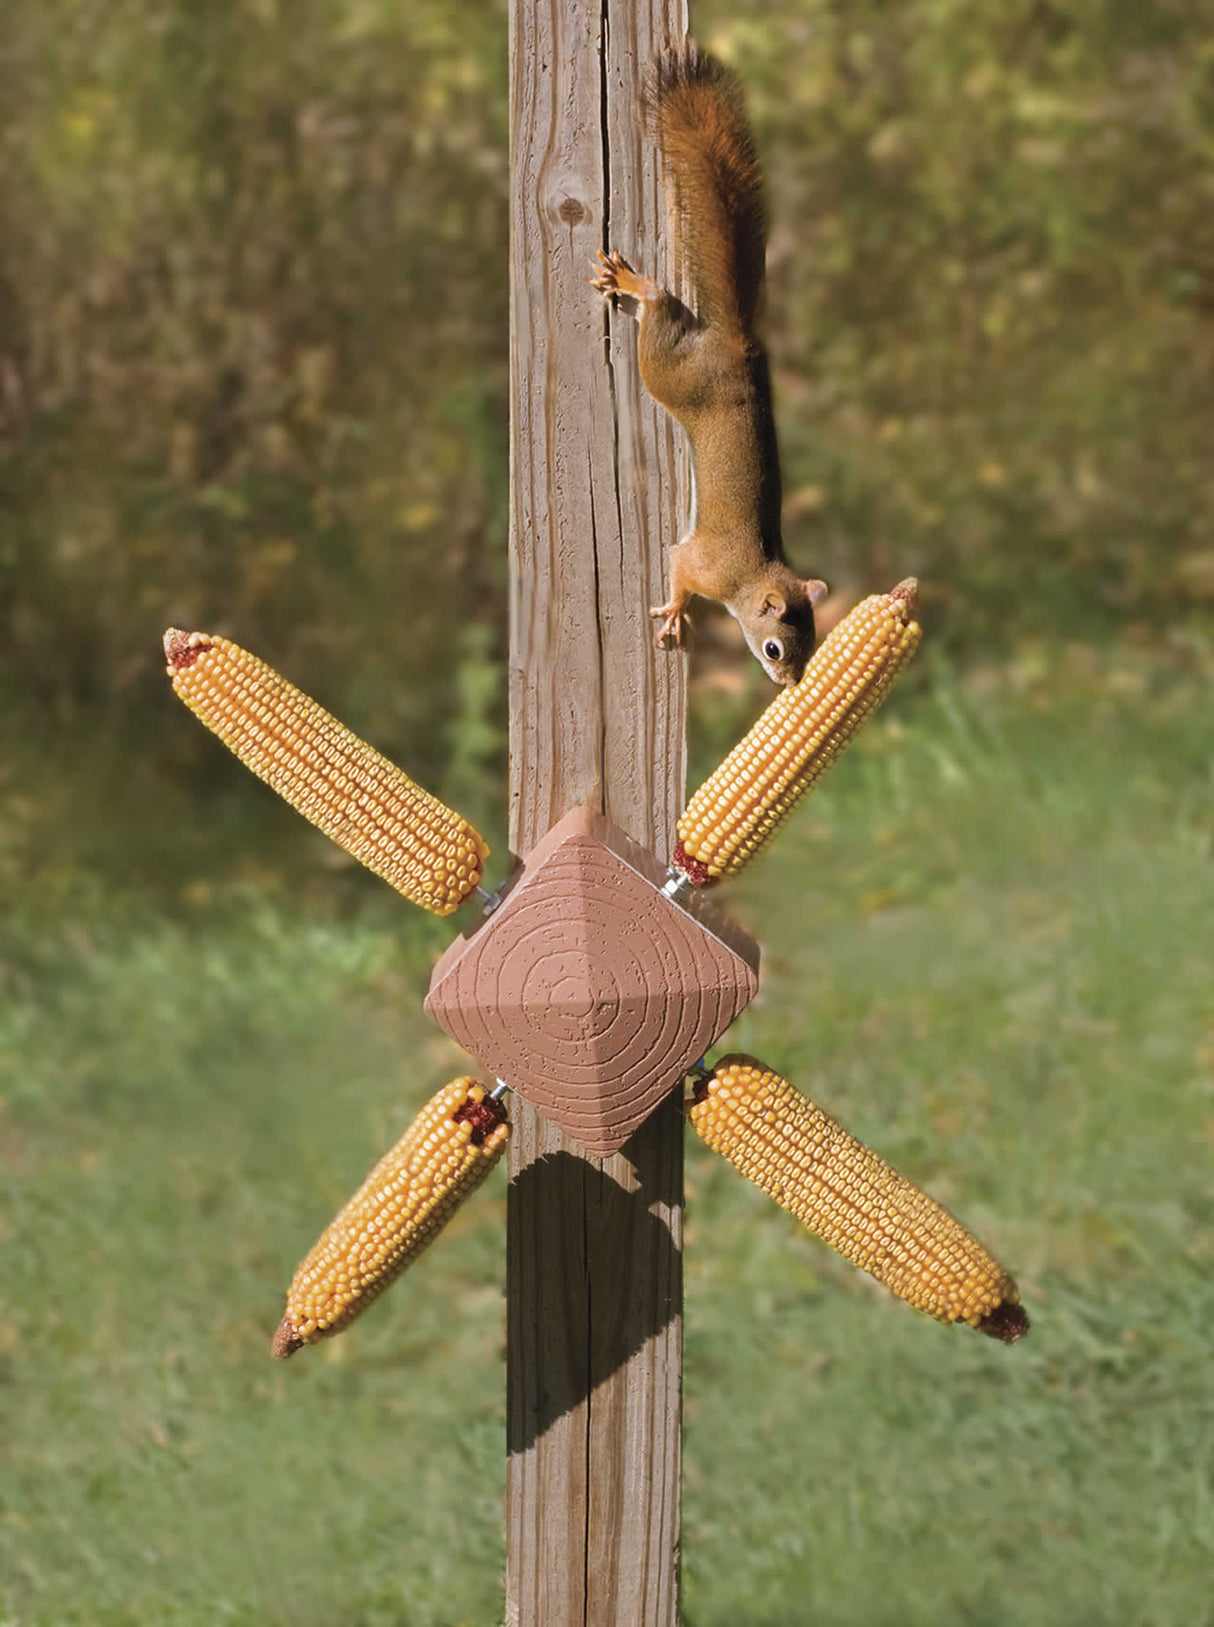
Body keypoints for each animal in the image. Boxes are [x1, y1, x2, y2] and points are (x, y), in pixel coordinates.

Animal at [592, 42, 828, 687]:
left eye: (814, 646)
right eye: (775, 648)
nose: (790, 685)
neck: (752, 576)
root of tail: (739, 347)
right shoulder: (700, 562)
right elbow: (677, 566)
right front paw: (675, 610)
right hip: (668, 377)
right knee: (656, 310)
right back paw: (635, 285)